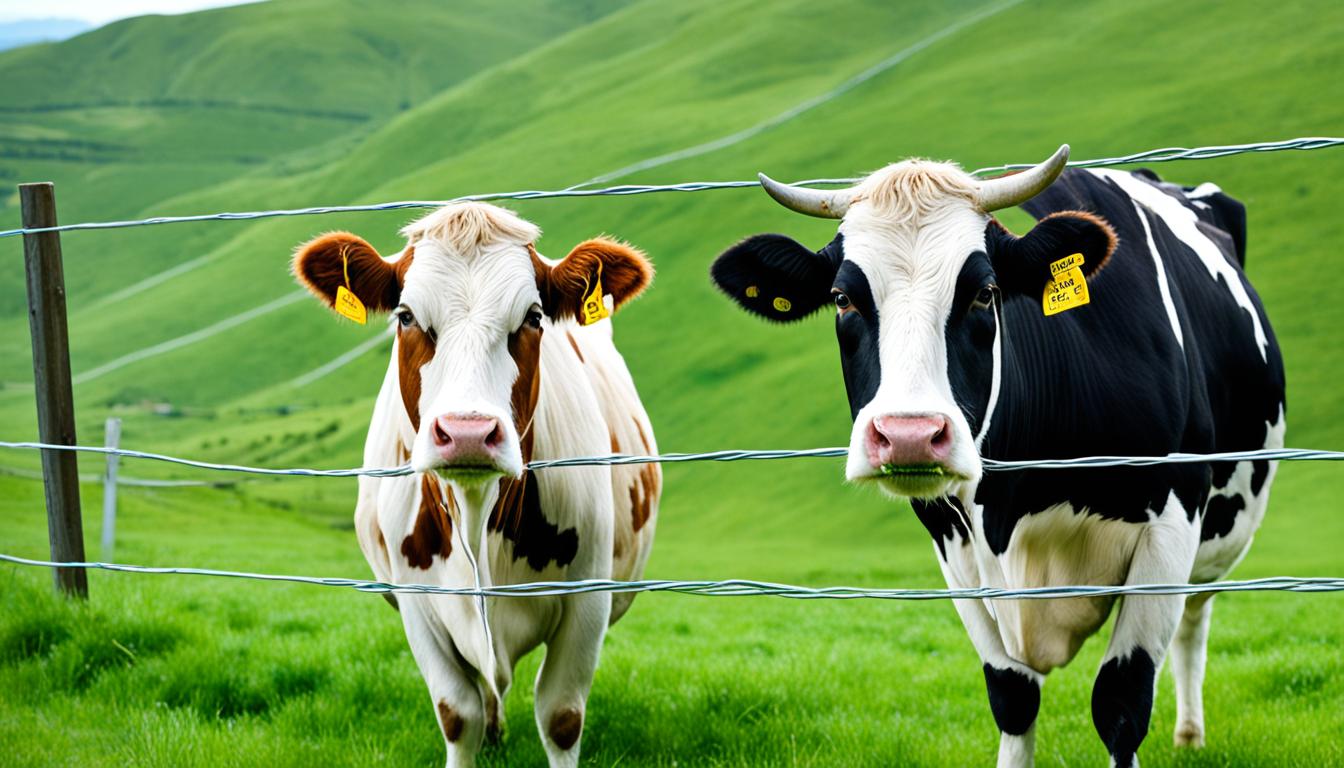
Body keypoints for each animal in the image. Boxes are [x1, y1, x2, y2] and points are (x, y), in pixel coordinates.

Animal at [292, 201, 661, 767]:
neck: (477, 517)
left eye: (533, 317)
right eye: (405, 316)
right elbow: (456, 713)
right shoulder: (417, 603)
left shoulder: (588, 597)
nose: (467, 432)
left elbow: (561, 716)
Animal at [708, 146, 1284, 767]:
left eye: (984, 292)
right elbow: (1013, 697)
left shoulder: (1172, 519)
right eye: (842, 299)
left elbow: (1121, 703)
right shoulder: (955, 547)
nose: (909, 435)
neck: (1022, 502)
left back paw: (1190, 733)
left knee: (1196, 616)